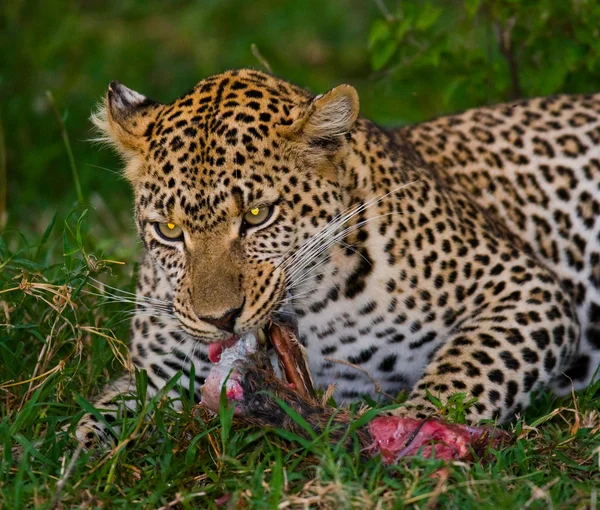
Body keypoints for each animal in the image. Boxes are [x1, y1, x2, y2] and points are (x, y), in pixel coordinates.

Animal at [76, 66, 600, 450]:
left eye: (257, 215)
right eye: (169, 230)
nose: (220, 319)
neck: (310, 315)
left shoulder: (523, 288)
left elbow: (468, 369)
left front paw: (415, 424)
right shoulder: (159, 376)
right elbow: (95, 417)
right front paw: (76, 461)